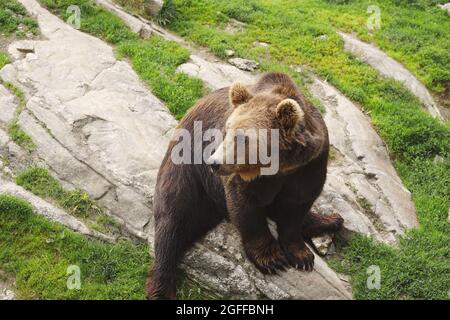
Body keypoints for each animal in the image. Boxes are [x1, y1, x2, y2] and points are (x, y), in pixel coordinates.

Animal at [146, 71, 342, 298]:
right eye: (225, 131)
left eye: (242, 138)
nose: (214, 162)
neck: (280, 167)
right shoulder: (248, 180)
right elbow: (246, 207)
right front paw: (272, 259)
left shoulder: (309, 166)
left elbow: (296, 207)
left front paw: (302, 256)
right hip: (188, 170)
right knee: (173, 221)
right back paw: (162, 288)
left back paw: (330, 219)